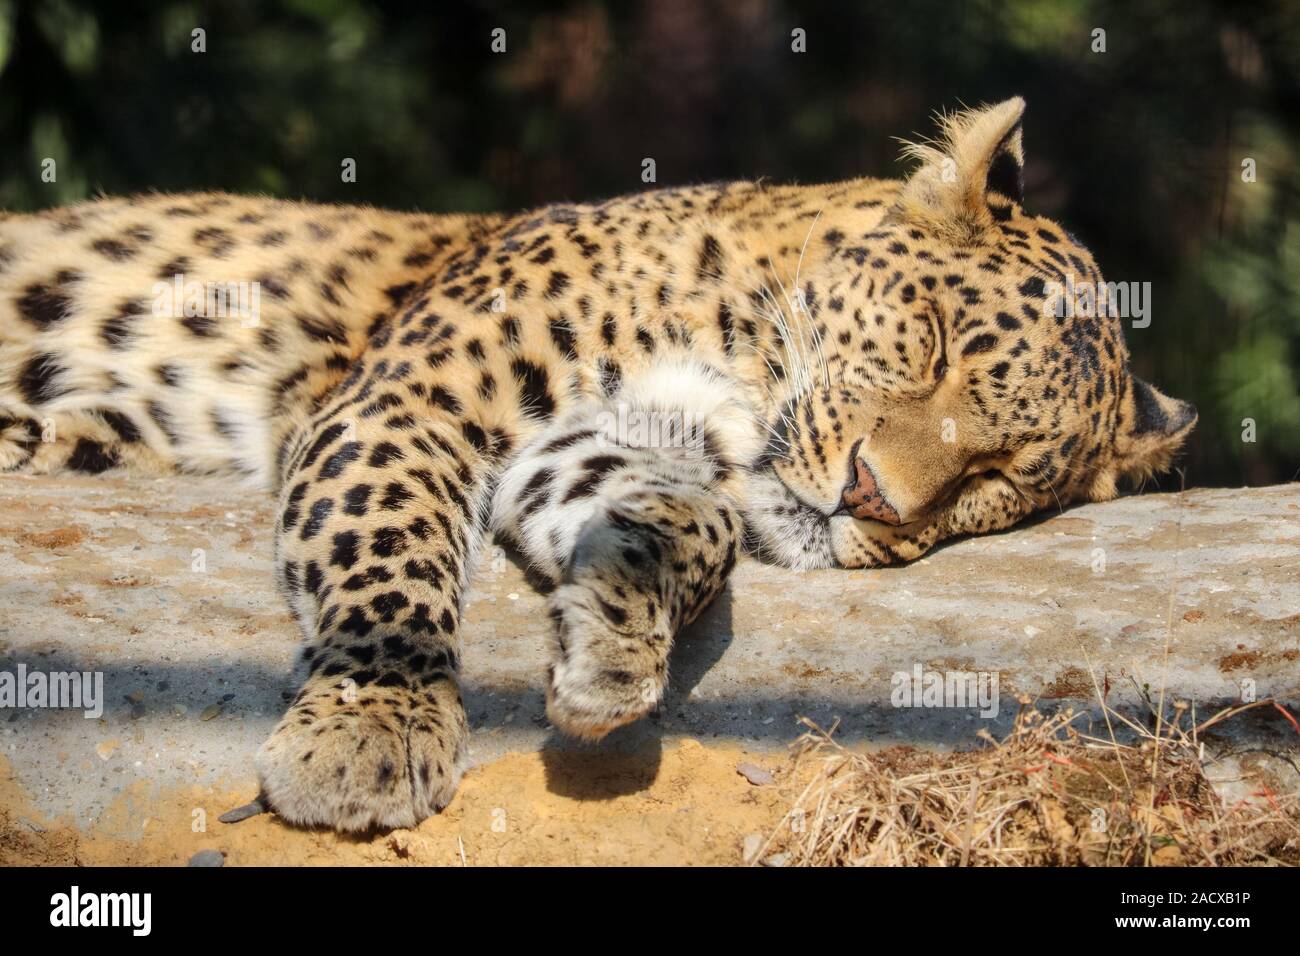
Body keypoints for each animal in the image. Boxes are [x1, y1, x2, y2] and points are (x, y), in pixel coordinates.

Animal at [0, 98, 1195, 831]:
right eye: (936, 343)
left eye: (1002, 477)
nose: (871, 496)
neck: (736, 354)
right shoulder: (409, 404)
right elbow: (390, 545)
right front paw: (374, 724)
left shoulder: (583, 439)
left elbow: (690, 518)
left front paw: (610, 643)